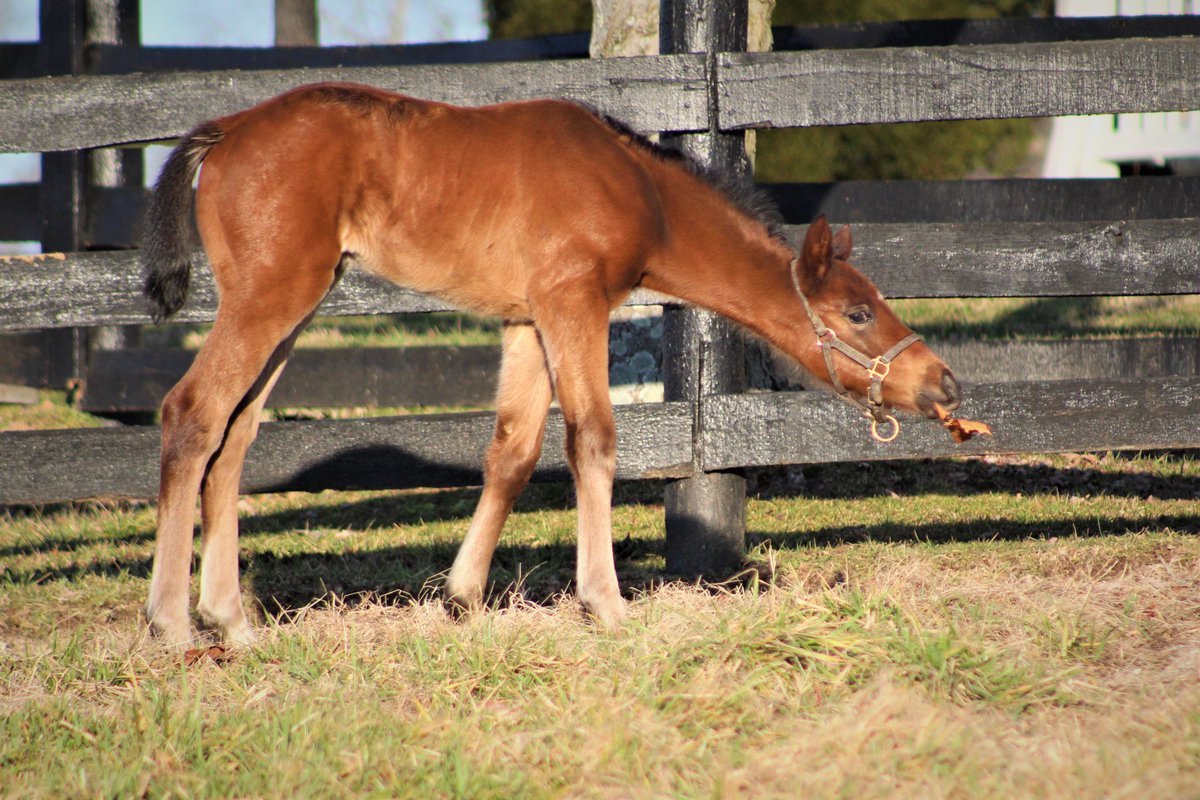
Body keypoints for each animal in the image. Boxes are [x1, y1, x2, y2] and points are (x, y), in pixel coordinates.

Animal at [140, 82, 962, 646]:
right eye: (857, 314)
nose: (943, 382)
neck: (639, 188)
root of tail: (226, 130)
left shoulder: (525, 318)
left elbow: (512, 450)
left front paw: (462, 598)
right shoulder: (574, 300)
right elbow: (592, 438)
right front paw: (606, 603)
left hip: (294, 304)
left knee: (234, 438)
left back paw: (232, 621)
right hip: (272, 294)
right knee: (193, 414)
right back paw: (173, 626)